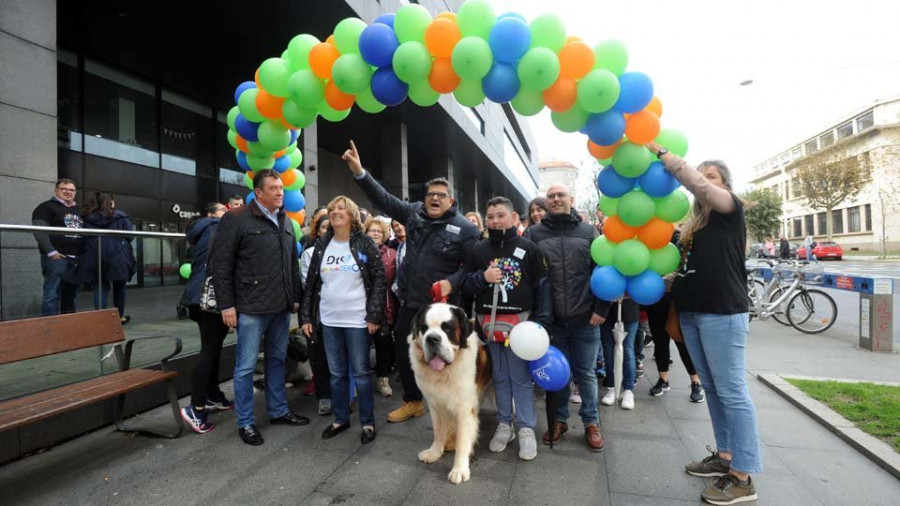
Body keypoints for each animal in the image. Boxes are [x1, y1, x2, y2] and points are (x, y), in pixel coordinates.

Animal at [410, 302, 492, 484]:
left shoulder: (464, 409)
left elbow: (462, 440)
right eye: (424, 328)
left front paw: (459, 470)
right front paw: (434, 452)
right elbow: (438, 431)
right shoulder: (435, 405)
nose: (432, 339)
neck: (444, 373)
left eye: (446, 328)